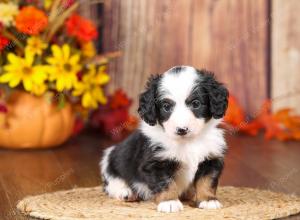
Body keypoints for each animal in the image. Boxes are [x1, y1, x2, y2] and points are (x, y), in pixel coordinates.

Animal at [99, 66, 229, 212]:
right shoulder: (156, 163)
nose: (182, 130)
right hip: (110, 162)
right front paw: (169, 202)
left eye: (196, 104)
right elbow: (166, 182)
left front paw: (208, 200)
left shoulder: (211, 158)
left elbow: (207, 181)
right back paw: (126, 192)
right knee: (113, 183)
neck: (187, 142)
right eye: (166, 107)